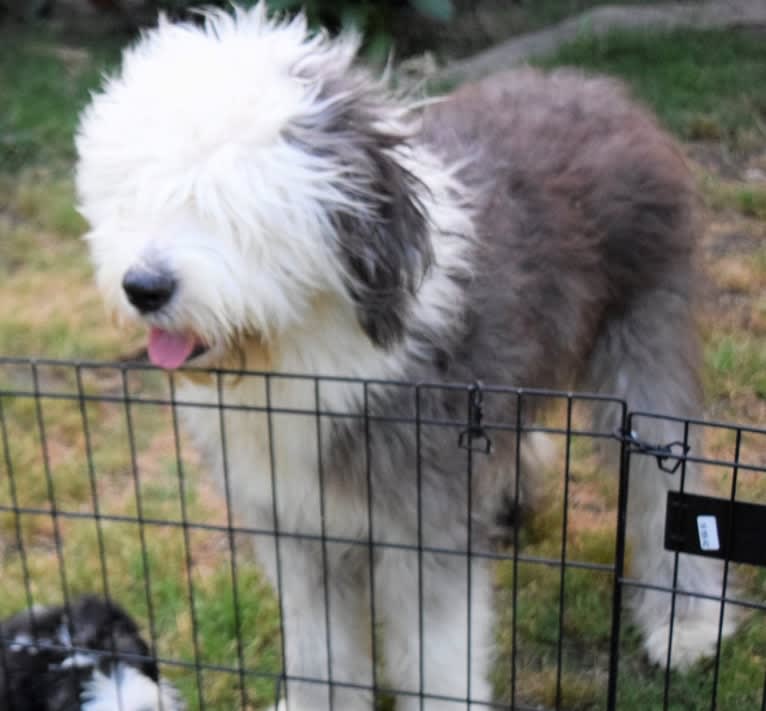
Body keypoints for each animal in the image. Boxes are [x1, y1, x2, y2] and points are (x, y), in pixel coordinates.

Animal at [76, 2, 736, 708]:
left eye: (230, 205)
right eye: (131, 195)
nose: (144, 288)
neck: (300, 352)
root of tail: (598, 89)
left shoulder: (423, 523)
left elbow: (435, 655)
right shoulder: (295, 525)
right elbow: (320, 647)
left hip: (646, 333)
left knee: (663, 484)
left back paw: (687, 626)